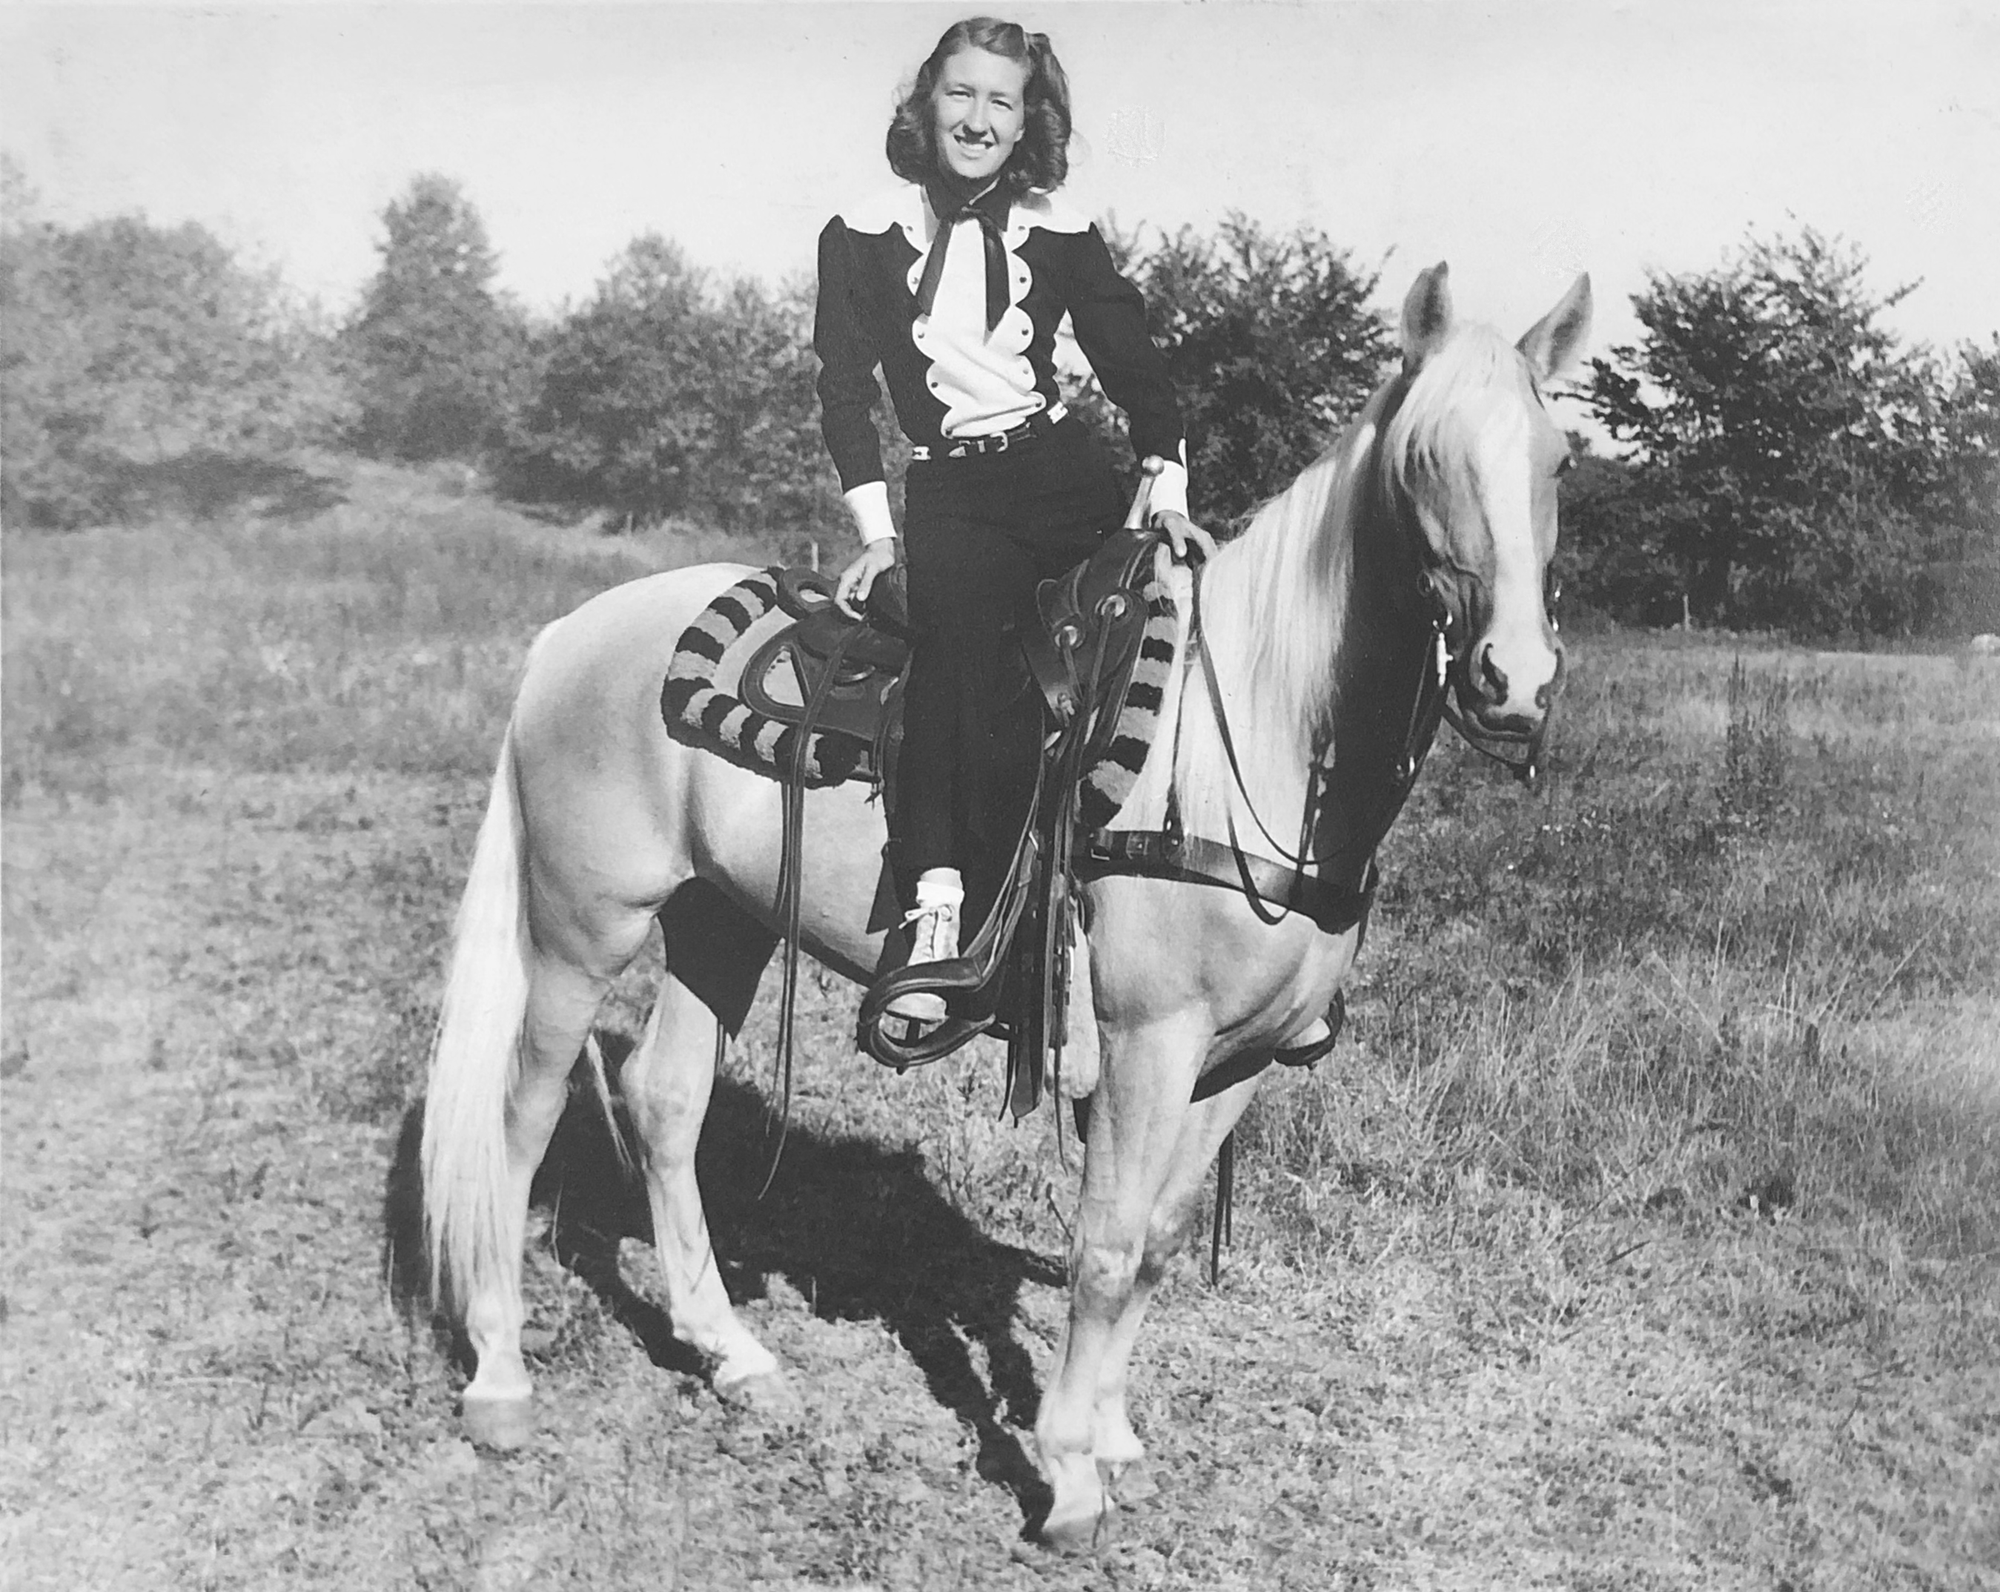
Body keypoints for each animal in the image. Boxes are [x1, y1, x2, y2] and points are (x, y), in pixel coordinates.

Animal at [422, 268, 1592, 1552]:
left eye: (1557, 459)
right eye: (1425, 457)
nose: (1513, 680)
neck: (1250, 728)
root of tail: (571, 633)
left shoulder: (1237, 1062)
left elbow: (1158, 1242)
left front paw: (1115, 1435)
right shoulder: (1143, 1043)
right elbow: (1104, 1246)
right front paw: (1069, 1476)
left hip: (719, 920)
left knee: (664, 1099)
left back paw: (735, 1356)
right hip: (582, 924)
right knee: (522, 1109)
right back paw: (497, 1379)